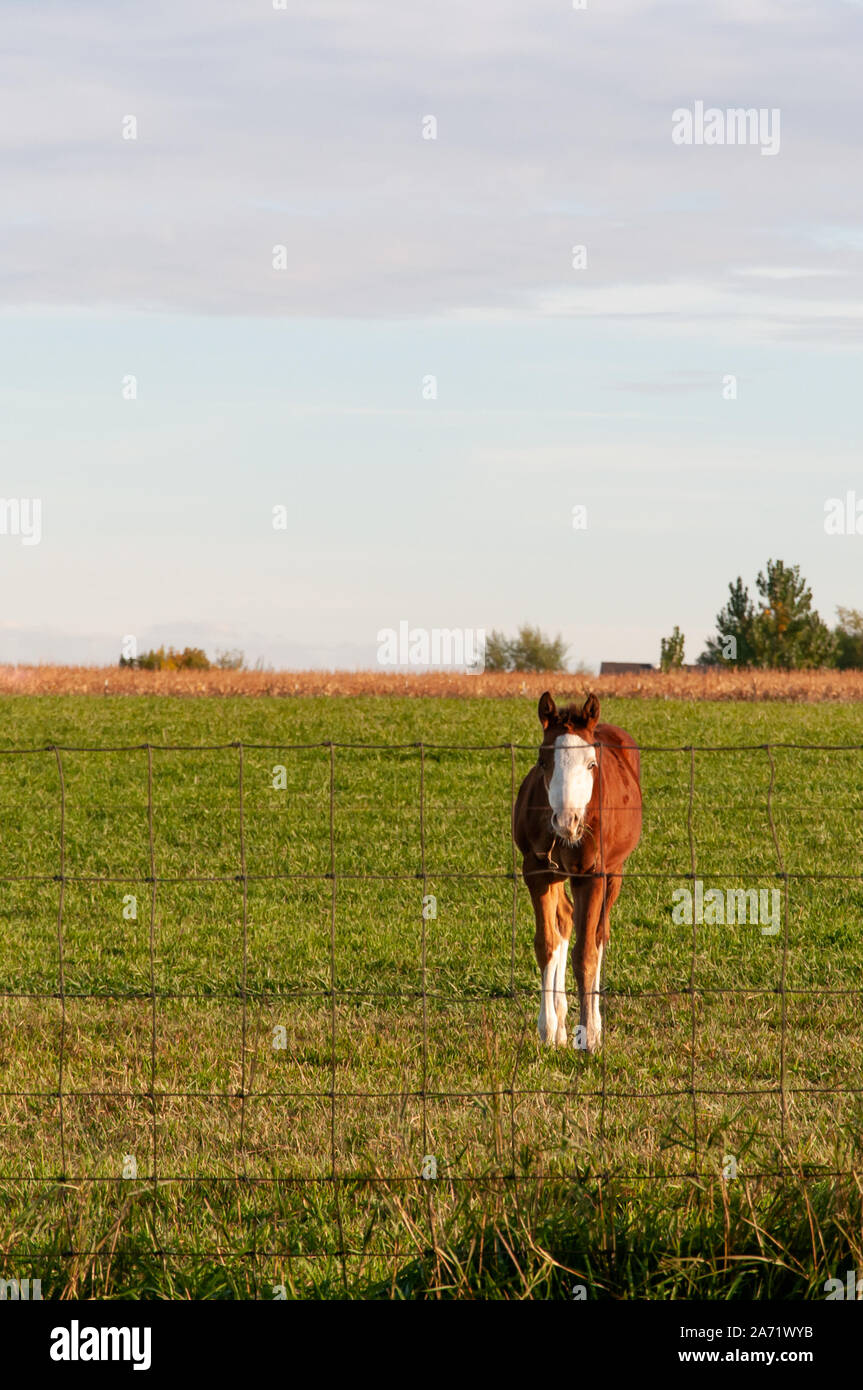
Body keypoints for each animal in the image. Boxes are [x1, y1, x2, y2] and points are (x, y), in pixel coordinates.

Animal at [511, 695, 639, 1050]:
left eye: (591, 764)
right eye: (542, 762)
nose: (567, 822)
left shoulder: (591, 876)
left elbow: (586, 955)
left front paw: (589, 1037)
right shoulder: (537, 872)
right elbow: (547, 944)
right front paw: (549, 1030)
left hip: (614, 873)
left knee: (599, 935)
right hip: (558, 875)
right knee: (565, 921)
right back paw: (561, 1020)